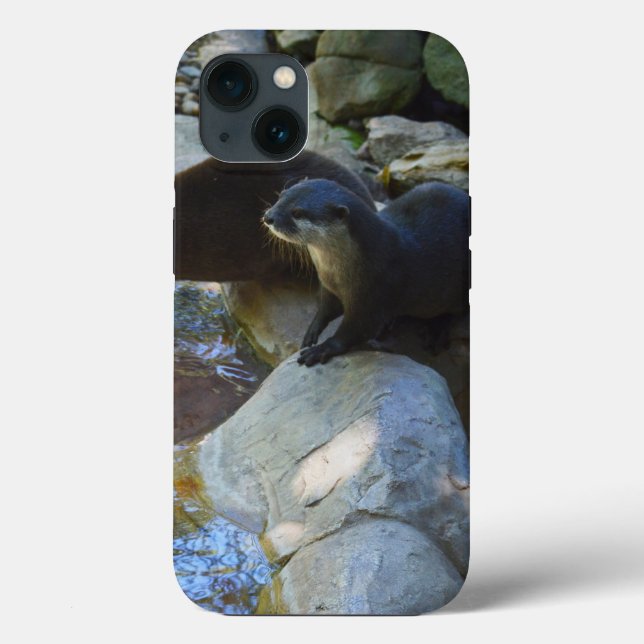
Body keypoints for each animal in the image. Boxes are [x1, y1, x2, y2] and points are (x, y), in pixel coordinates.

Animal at [263, 179, 470, 366]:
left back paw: (436, 330)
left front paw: (322, 349)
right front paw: (312, 330)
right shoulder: (328, 286)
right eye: (281, 196)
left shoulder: (376, 290)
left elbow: (357, 329)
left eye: (297, 212)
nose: (268, 217)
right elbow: (326, 308)